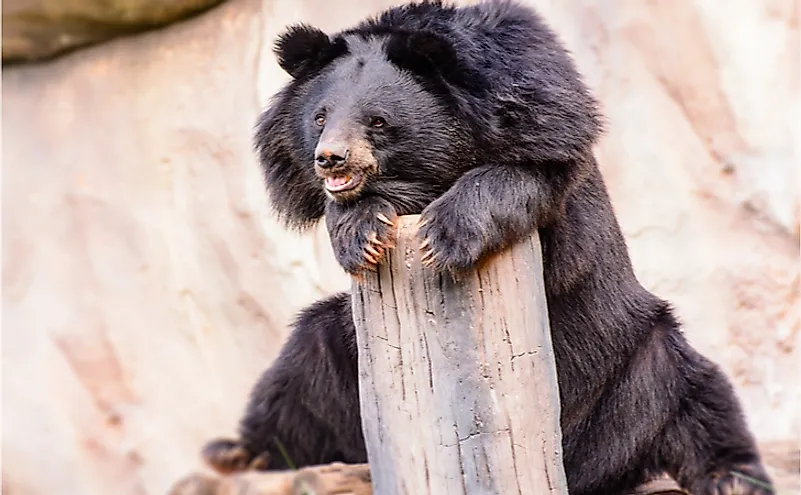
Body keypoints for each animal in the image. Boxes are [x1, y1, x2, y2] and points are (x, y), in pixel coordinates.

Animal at [203, 0, 772, 495]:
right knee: (296, 379)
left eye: (378, 121)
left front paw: (442, 235)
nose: (331, 160)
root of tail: (575, 467)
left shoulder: (541, 112)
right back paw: (232, 452)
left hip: (640, 360)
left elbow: (522, 179)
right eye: (319, 117)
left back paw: (730, 479)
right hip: (339, 353)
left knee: (698, 401)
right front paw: (361, 231)